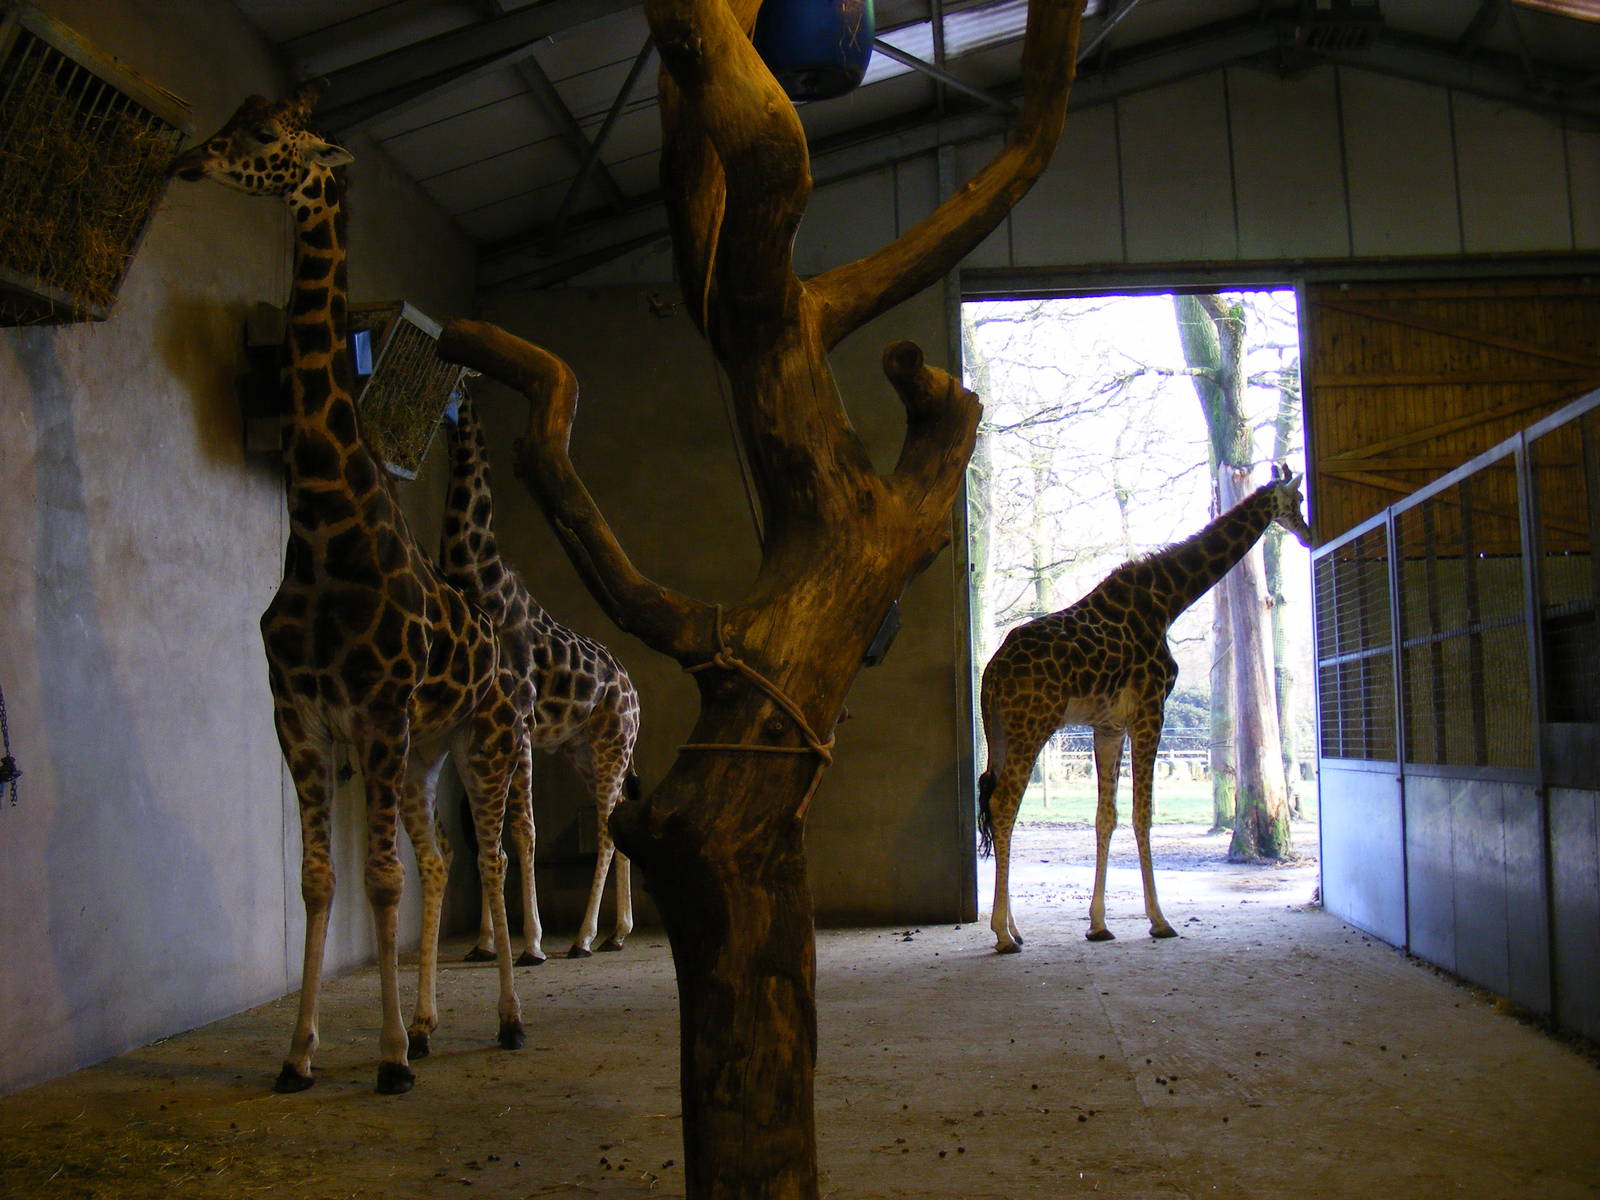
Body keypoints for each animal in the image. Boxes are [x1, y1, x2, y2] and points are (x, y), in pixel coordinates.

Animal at [169, 86, 529, 1093]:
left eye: (263, 135)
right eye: (230, 118)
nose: (189, 161)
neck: (325, 533)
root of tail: (500, 655)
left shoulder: (374, 711)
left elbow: (380, 881)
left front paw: (390, 1059)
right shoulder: (300, 715)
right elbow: (322, 881)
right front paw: (301, 1055)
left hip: (478, 740)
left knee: (486, 856)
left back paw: (504, 1020)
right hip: (423, 751)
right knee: (441, 859)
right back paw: (435, 1021)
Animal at [437, 384, 641, 961]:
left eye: (458, 389)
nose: (440, 419)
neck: (477, 578)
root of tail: (632, 690)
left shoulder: (520, 723)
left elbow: (522, 830)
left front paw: (530, 941)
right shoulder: (478, 728)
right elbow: (484, 831)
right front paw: (485, 942)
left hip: (610, 743)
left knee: (606, 827)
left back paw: (585, 936)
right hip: (583, 750)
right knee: (620, 814)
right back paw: (617, 932)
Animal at [976, 465, 1311, 953]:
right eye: (1297, 500)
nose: (1307, 533)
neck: (1167, 599)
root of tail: (991, 673)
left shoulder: (1109, 726)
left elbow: (1106, 818)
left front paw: (1098, 924)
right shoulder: (1151, 712)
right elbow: (1142, 815)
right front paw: (1159, 920)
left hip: (1000, 734)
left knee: (999, 804)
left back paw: (1014, 928)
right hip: (1032, 727)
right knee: (1003, 805)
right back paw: (1002, 935)